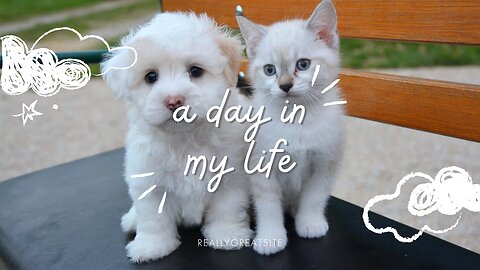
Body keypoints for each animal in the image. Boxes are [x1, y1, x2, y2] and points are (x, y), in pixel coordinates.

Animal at [101, 11, 251, 262]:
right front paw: (152, 246)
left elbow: (227, 207)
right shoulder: (149, 182)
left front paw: (227, 234)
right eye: (151, 76)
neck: (185, 139)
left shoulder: (231, 175)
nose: (173, 101)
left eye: (195, 71)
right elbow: (153, 218)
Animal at [237, 0, 344, 255]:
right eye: (269, 70)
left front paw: (310, 222)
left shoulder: (324, 162)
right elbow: (268, 206)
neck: (296, 119)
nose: (285, 85)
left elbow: (314, 197)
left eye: (303, 65)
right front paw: (270, 238)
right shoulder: (261, 165)